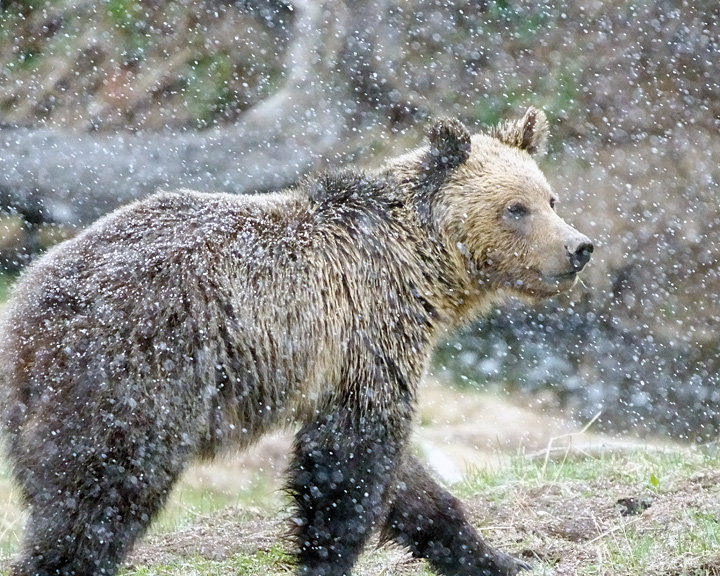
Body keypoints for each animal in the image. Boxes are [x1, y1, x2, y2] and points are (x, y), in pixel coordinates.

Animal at [0, 108, 592, 576]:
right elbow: (347, 465)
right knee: (103, 489)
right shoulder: (366, 334)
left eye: (550, 198)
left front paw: (501, 557)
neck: (420, 268)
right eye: (516, 208)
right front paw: (325, 559)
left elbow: (407, 483)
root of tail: (30, 304)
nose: (579, 247)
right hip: (137, 369)